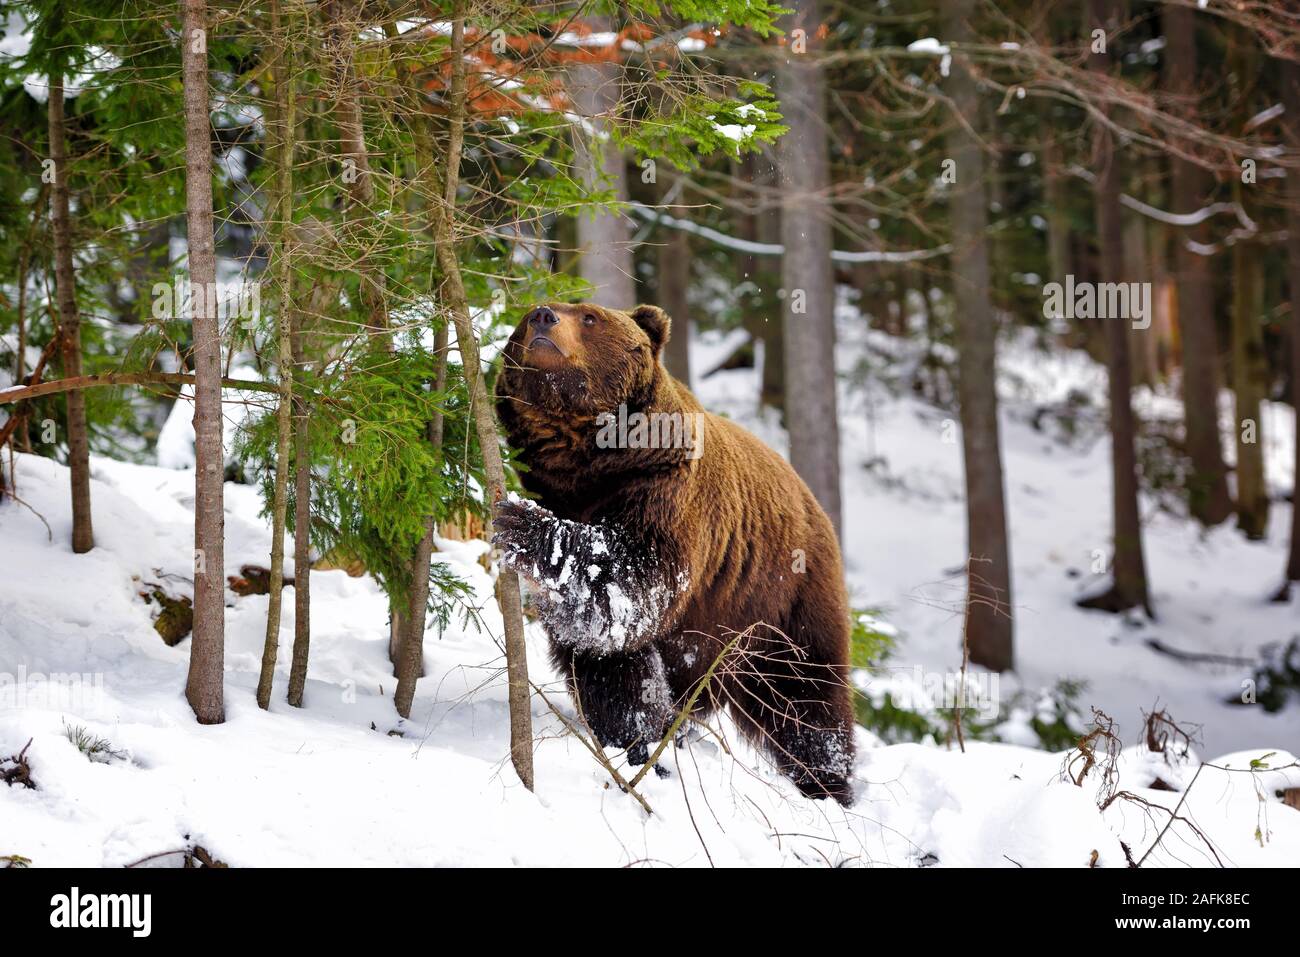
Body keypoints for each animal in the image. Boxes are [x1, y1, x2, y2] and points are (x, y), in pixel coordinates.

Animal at [488, 302, 852, 806]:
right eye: (524, 320)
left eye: (590, 317)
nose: (543, 315)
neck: (586, 465)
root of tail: (811, 499)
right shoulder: (567, 498)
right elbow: (609, 657)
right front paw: (637, 743)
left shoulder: (665, 490)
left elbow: (629, 581)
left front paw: (520, 522)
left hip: (781, 599)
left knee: (804, 693)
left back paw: (827, 783)